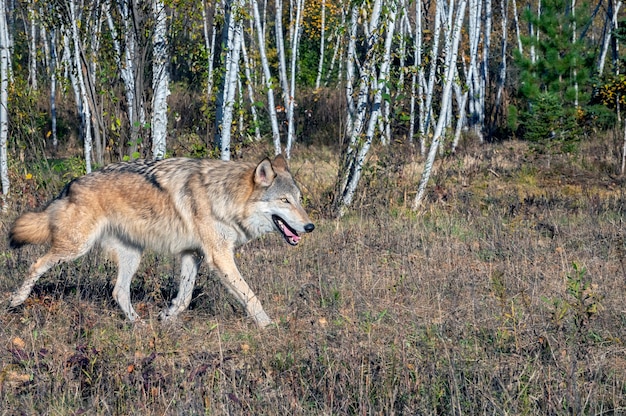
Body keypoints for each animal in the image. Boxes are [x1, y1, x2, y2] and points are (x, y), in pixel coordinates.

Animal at [7, 154, 314, 326]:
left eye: (299, 199)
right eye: (284, 201)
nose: (310, 226)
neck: (226, 197)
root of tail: (70, 184)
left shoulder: (192, 255)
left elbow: (185, 297)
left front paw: (167, 317)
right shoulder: (218, 256)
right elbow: (250, 296)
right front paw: (268, 326)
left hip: (132, 256)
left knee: (119, 292)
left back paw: (139, 325)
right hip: (75, 248)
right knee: (36, 264)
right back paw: (15, 301)